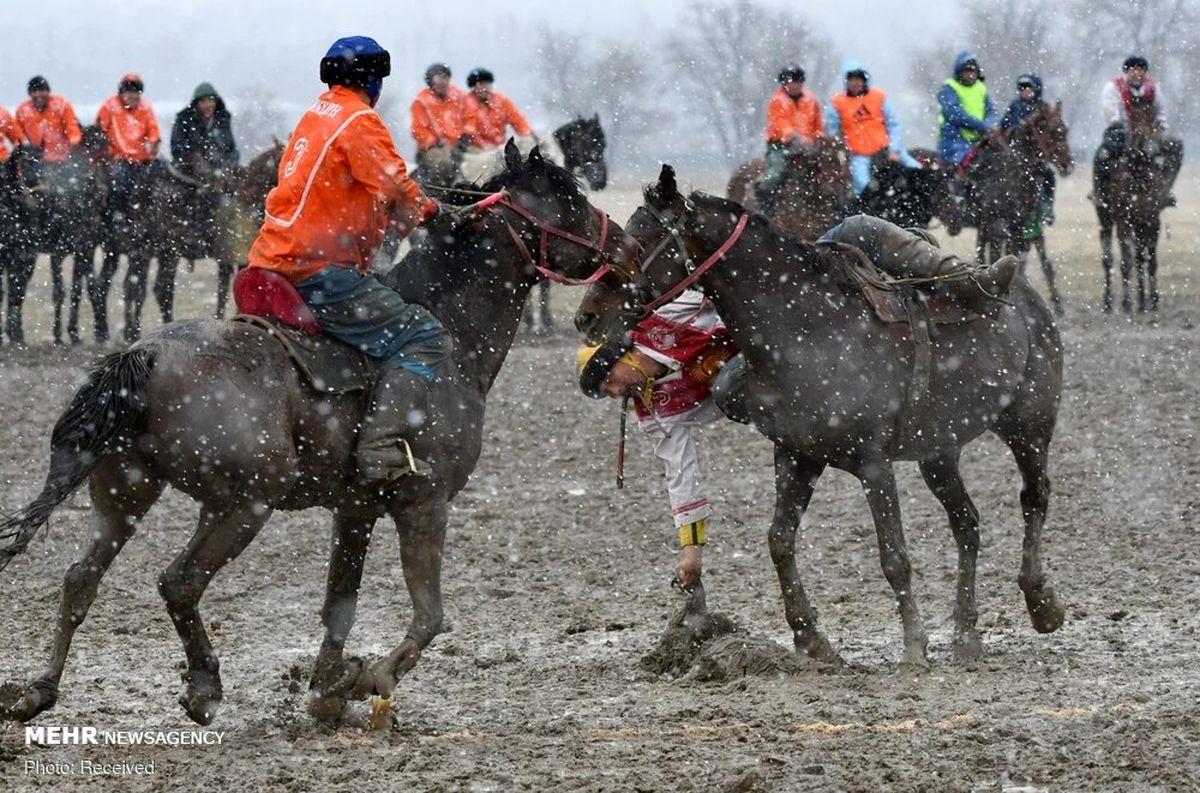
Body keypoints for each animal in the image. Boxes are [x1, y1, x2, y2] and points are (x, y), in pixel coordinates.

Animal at [0, 143, 638, 729]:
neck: (451, 330)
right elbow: (429, 615)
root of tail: (145, 353)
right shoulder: (424, 503)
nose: (629, 247)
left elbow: (341, 606)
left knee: (80, 580)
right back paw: (204, 687)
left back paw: (38, 690)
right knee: (179, 582)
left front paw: (328, 691)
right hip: (242, 503)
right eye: (570, 196)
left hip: (124, 492)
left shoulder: (355, 509)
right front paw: (370, 678)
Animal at [576, 165, 1065, 667]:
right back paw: (966, 633)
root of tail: (1027, 296)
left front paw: (913, 645)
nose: (586, 316)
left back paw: (1041, 603)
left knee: (1034, 496)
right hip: (939, 450)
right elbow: (779, 539)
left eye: (638, 242)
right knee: (967, 522)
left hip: (1029, 423)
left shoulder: (873, 463)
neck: (806, 328)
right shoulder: (796, 455)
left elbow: (894, 556)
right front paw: (810, 638)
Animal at [1094, 102, 1166, 314]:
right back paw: (1108, 302)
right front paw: (1128, 302)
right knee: (1108, 258)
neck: (1139, 175)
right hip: (1107, 220)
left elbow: (1149, 260)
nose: (1146, 147)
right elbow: (1127, 262)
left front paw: (1151, 300)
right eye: (1133, 119)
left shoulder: (1151, 221)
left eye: (1152, 119)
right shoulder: (1124, 222)